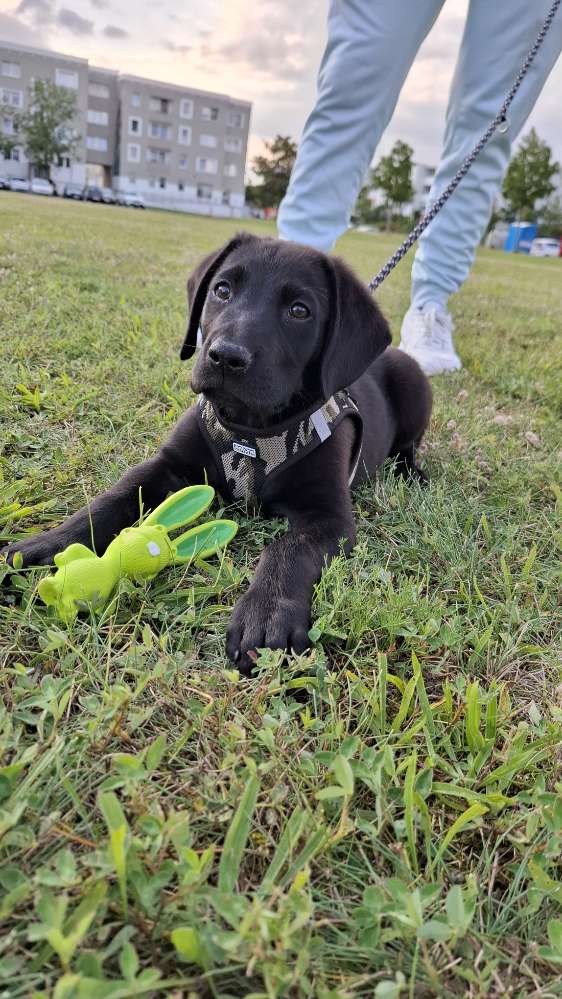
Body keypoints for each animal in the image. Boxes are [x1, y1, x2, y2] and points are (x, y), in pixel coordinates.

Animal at [4, 233, 428, 672]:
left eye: (299, 311)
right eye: (222, 290)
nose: (226, 356)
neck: (251, 429)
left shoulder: (328, 516)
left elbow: (287, 550)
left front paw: (266, 614)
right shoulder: (168, 466)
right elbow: (112, 499)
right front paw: (47, 545)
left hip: (415, 385)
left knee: (410, 444)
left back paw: (413, 472)